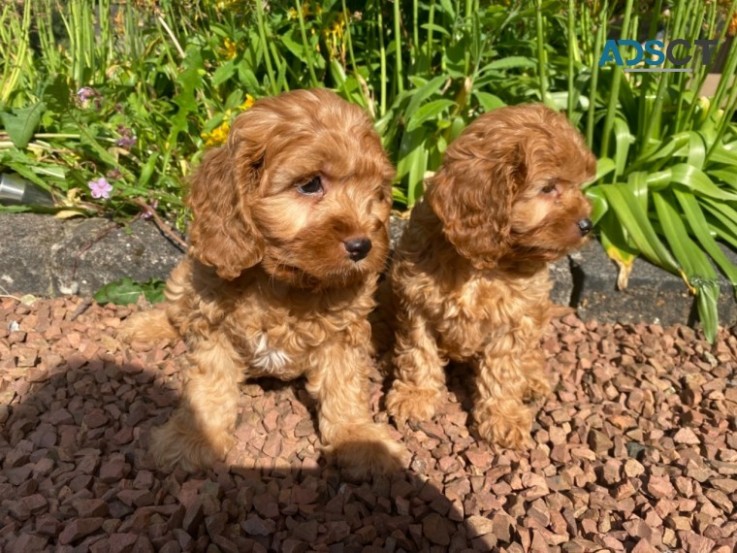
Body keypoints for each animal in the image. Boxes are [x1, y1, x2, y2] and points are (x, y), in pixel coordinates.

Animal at [123, 88, 406, 476]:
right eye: (310, 184)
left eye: (376, 192)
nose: (363, 246)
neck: (282, 282)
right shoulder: (213, 325)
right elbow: (208, 386)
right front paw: (191, 439)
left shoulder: (343, 331)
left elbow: (344, 385)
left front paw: (359, 438)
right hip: (186, 277)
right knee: (177, 309)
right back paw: (142, 326)